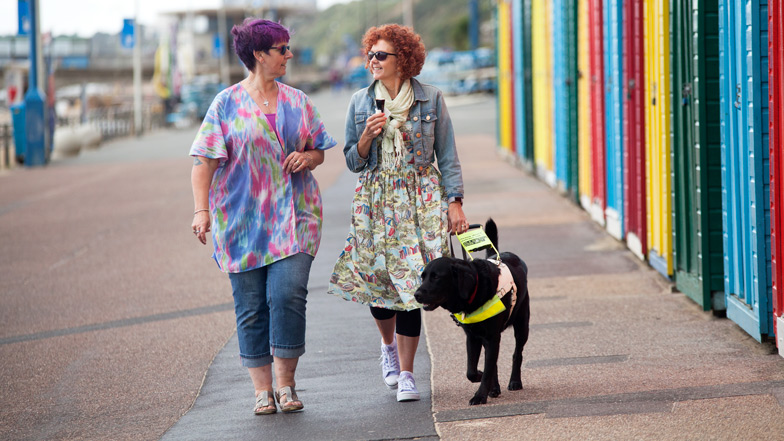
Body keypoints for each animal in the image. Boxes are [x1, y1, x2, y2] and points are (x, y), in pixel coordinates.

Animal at [414, 218, 528, 404]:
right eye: (423, 277)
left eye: (436, 277)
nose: (416, 294)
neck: (475, 290)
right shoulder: (473, 337)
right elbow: (472, 371)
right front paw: (482, 380)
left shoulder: (491, 337)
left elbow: (487, 368)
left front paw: (480, 395)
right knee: (494, 362)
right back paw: (494, 388)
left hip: (522, 325)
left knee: (517, 353)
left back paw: (515, 381)